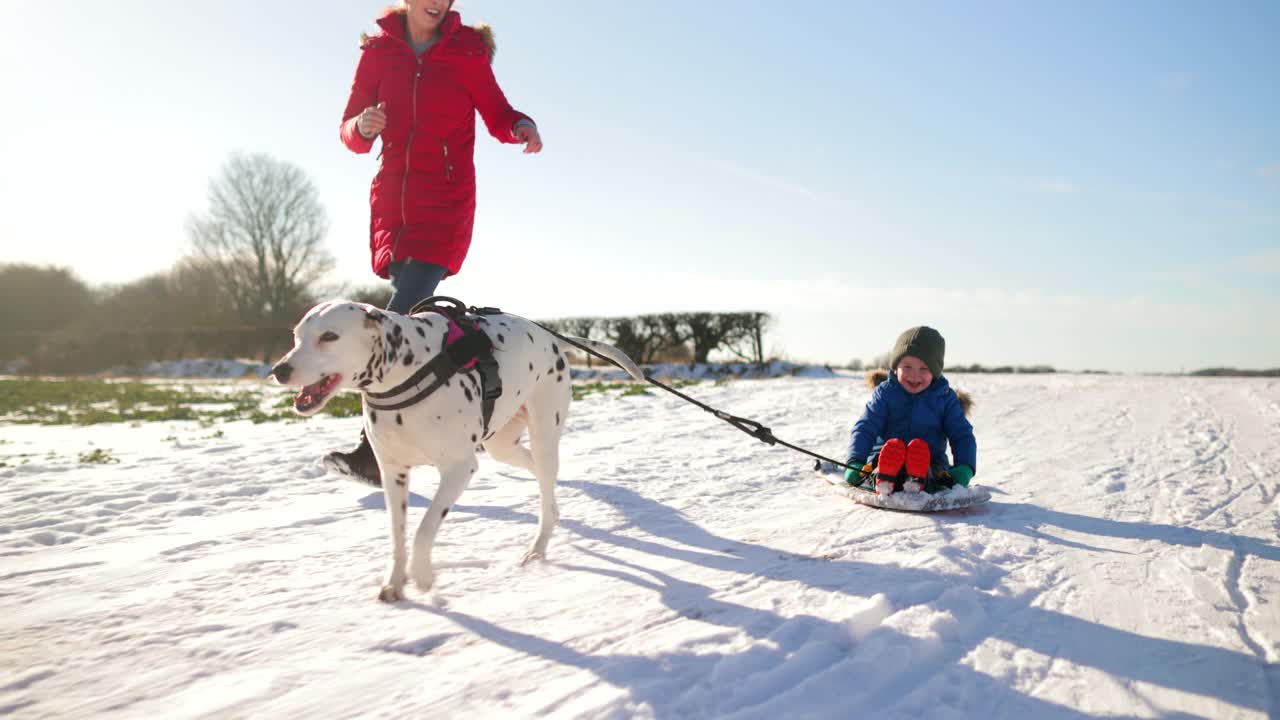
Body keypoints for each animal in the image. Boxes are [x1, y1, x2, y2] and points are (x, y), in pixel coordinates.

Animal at [273, 298, 645, 599]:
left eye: (329, 336)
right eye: (297, 336)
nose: (280, 369)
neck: (409, 372)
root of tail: (552, 338)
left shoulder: (458, 469)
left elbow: (424, 529)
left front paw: (422, 575)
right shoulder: (393, 474)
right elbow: (398, 534)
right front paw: (394, 581)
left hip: (543, 434)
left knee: (543, 477)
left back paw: (538, 547)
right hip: (502, 445)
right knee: (541, 477)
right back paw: (551, 513)